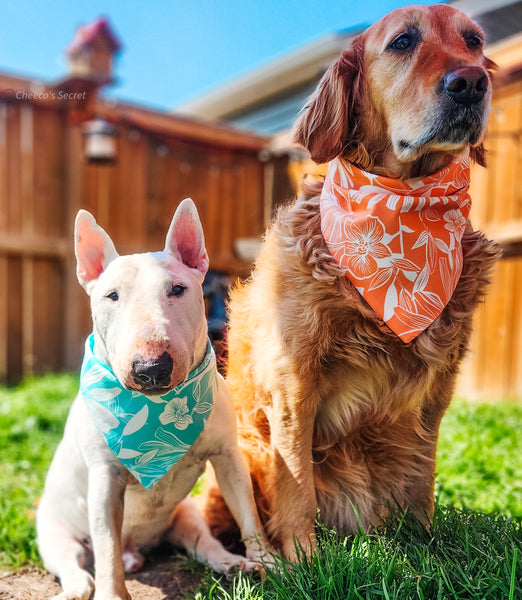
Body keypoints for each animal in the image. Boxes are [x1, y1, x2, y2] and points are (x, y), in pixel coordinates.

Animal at [37, 199, 268, 596]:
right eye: (112, 295)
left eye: (177, 289)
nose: (151, 368)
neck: (157, 410)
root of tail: (137, 550)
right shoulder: (105, 479)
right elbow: (107, 548)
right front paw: (112, 595)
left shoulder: (228, 457)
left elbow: (249, 515)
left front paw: (276, 565)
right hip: (54, 535)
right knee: (77, 564)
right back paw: (78, 587)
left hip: (187, 513)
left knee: (202, 544)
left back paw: (231, 563)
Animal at [203, 3, 500, 556]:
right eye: (403, 41)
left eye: (473, 41)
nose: (471, 82)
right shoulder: (294, 381)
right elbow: (296, 479)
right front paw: (303, 558)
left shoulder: (438, 390)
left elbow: (421, 477)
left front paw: (426, 546)